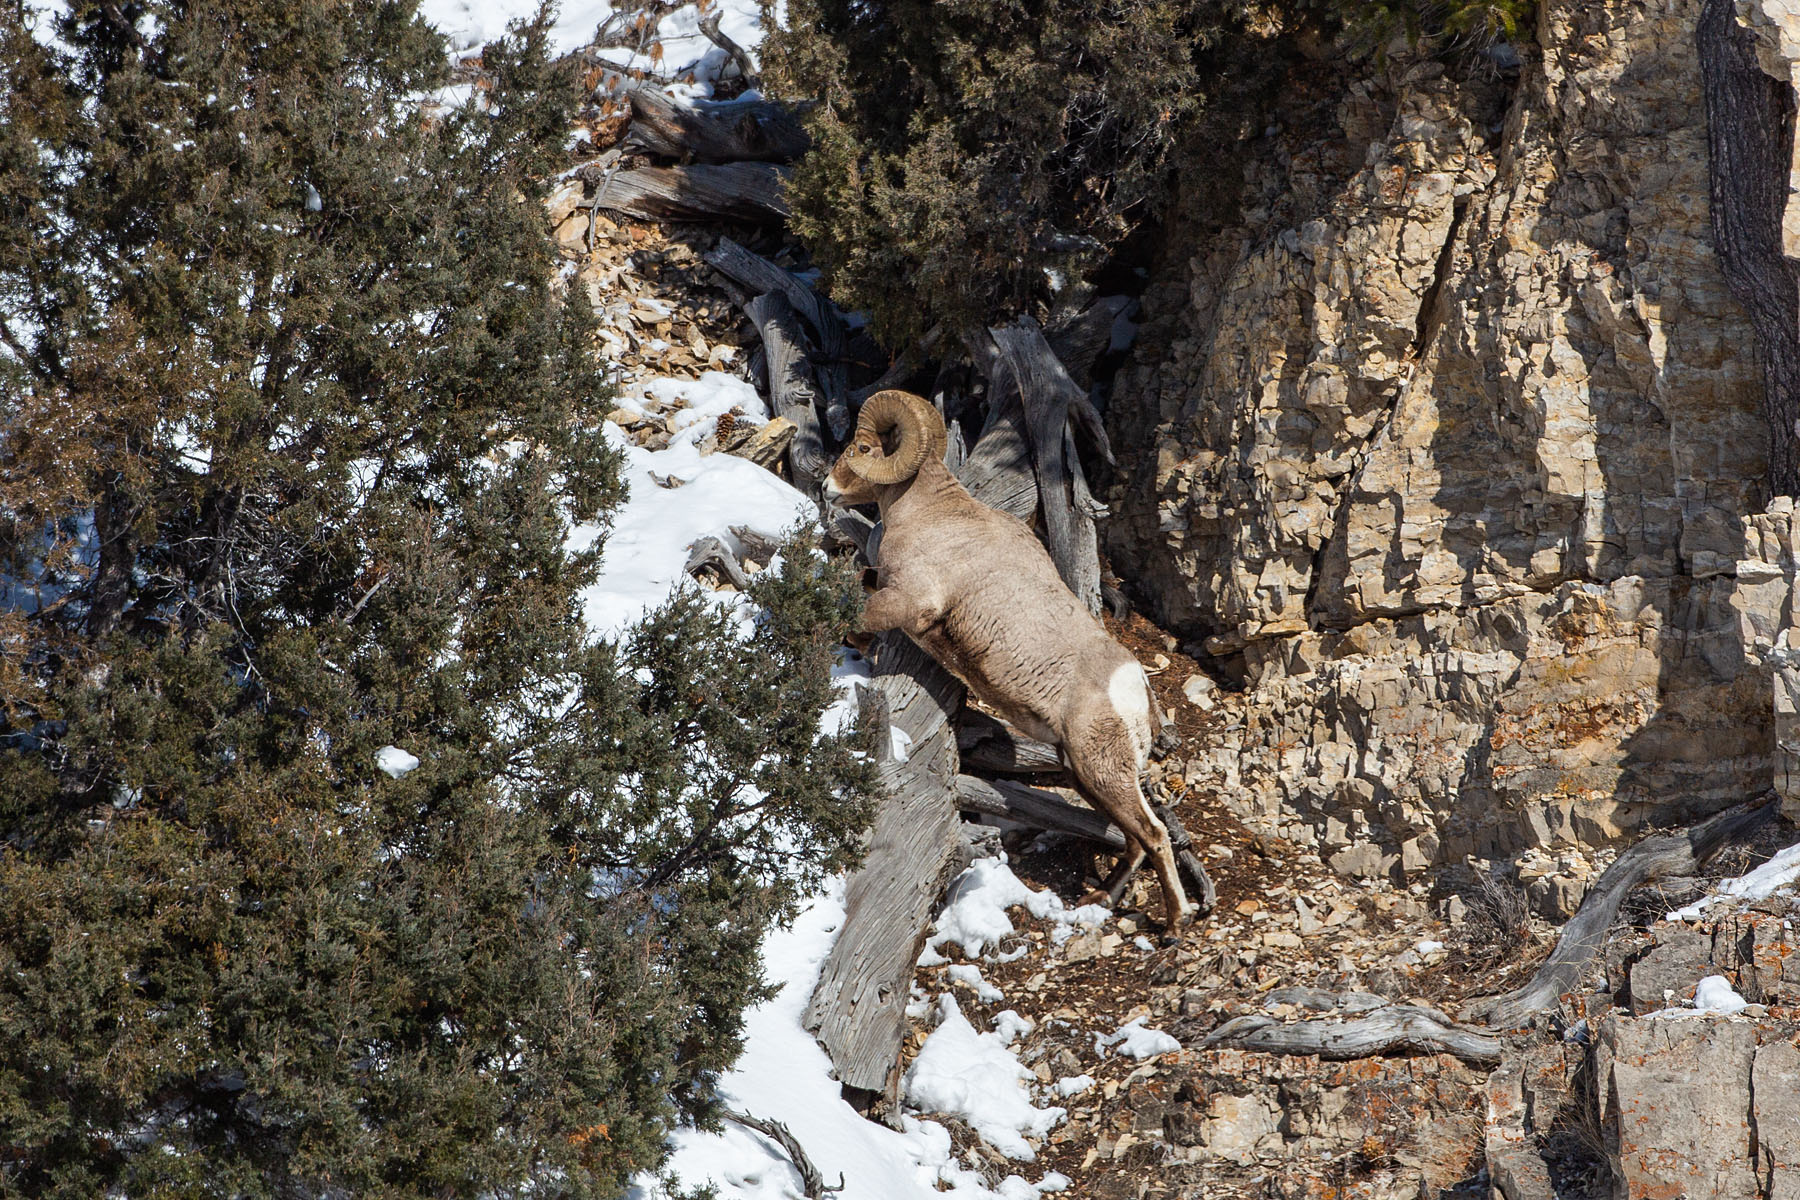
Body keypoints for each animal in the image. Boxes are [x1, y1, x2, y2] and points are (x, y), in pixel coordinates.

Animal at [824, 390, 1195, 928]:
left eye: (864, 447)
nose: (827, 488)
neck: (932, 513)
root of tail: (1136, 691)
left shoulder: (908, 602)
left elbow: (856, 618)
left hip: (1103, 771)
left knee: (1153, 835)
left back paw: (1175, 922)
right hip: (1086, 774)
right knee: (1132, 839)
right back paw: (1102, 899)